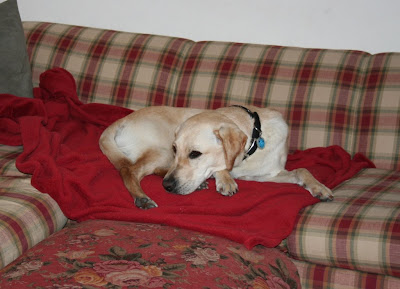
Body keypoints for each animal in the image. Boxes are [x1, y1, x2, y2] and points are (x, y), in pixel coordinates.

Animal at [98, 104, 332, 208]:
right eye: (177, 149)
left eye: (194, 153)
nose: (167, 187)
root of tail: (120, 121)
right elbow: (220, 168)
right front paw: (226, 180)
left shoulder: (269, 175)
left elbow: (302, 169)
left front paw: (319, 187)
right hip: (161, 150)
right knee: (129, 170)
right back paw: (142, 197)